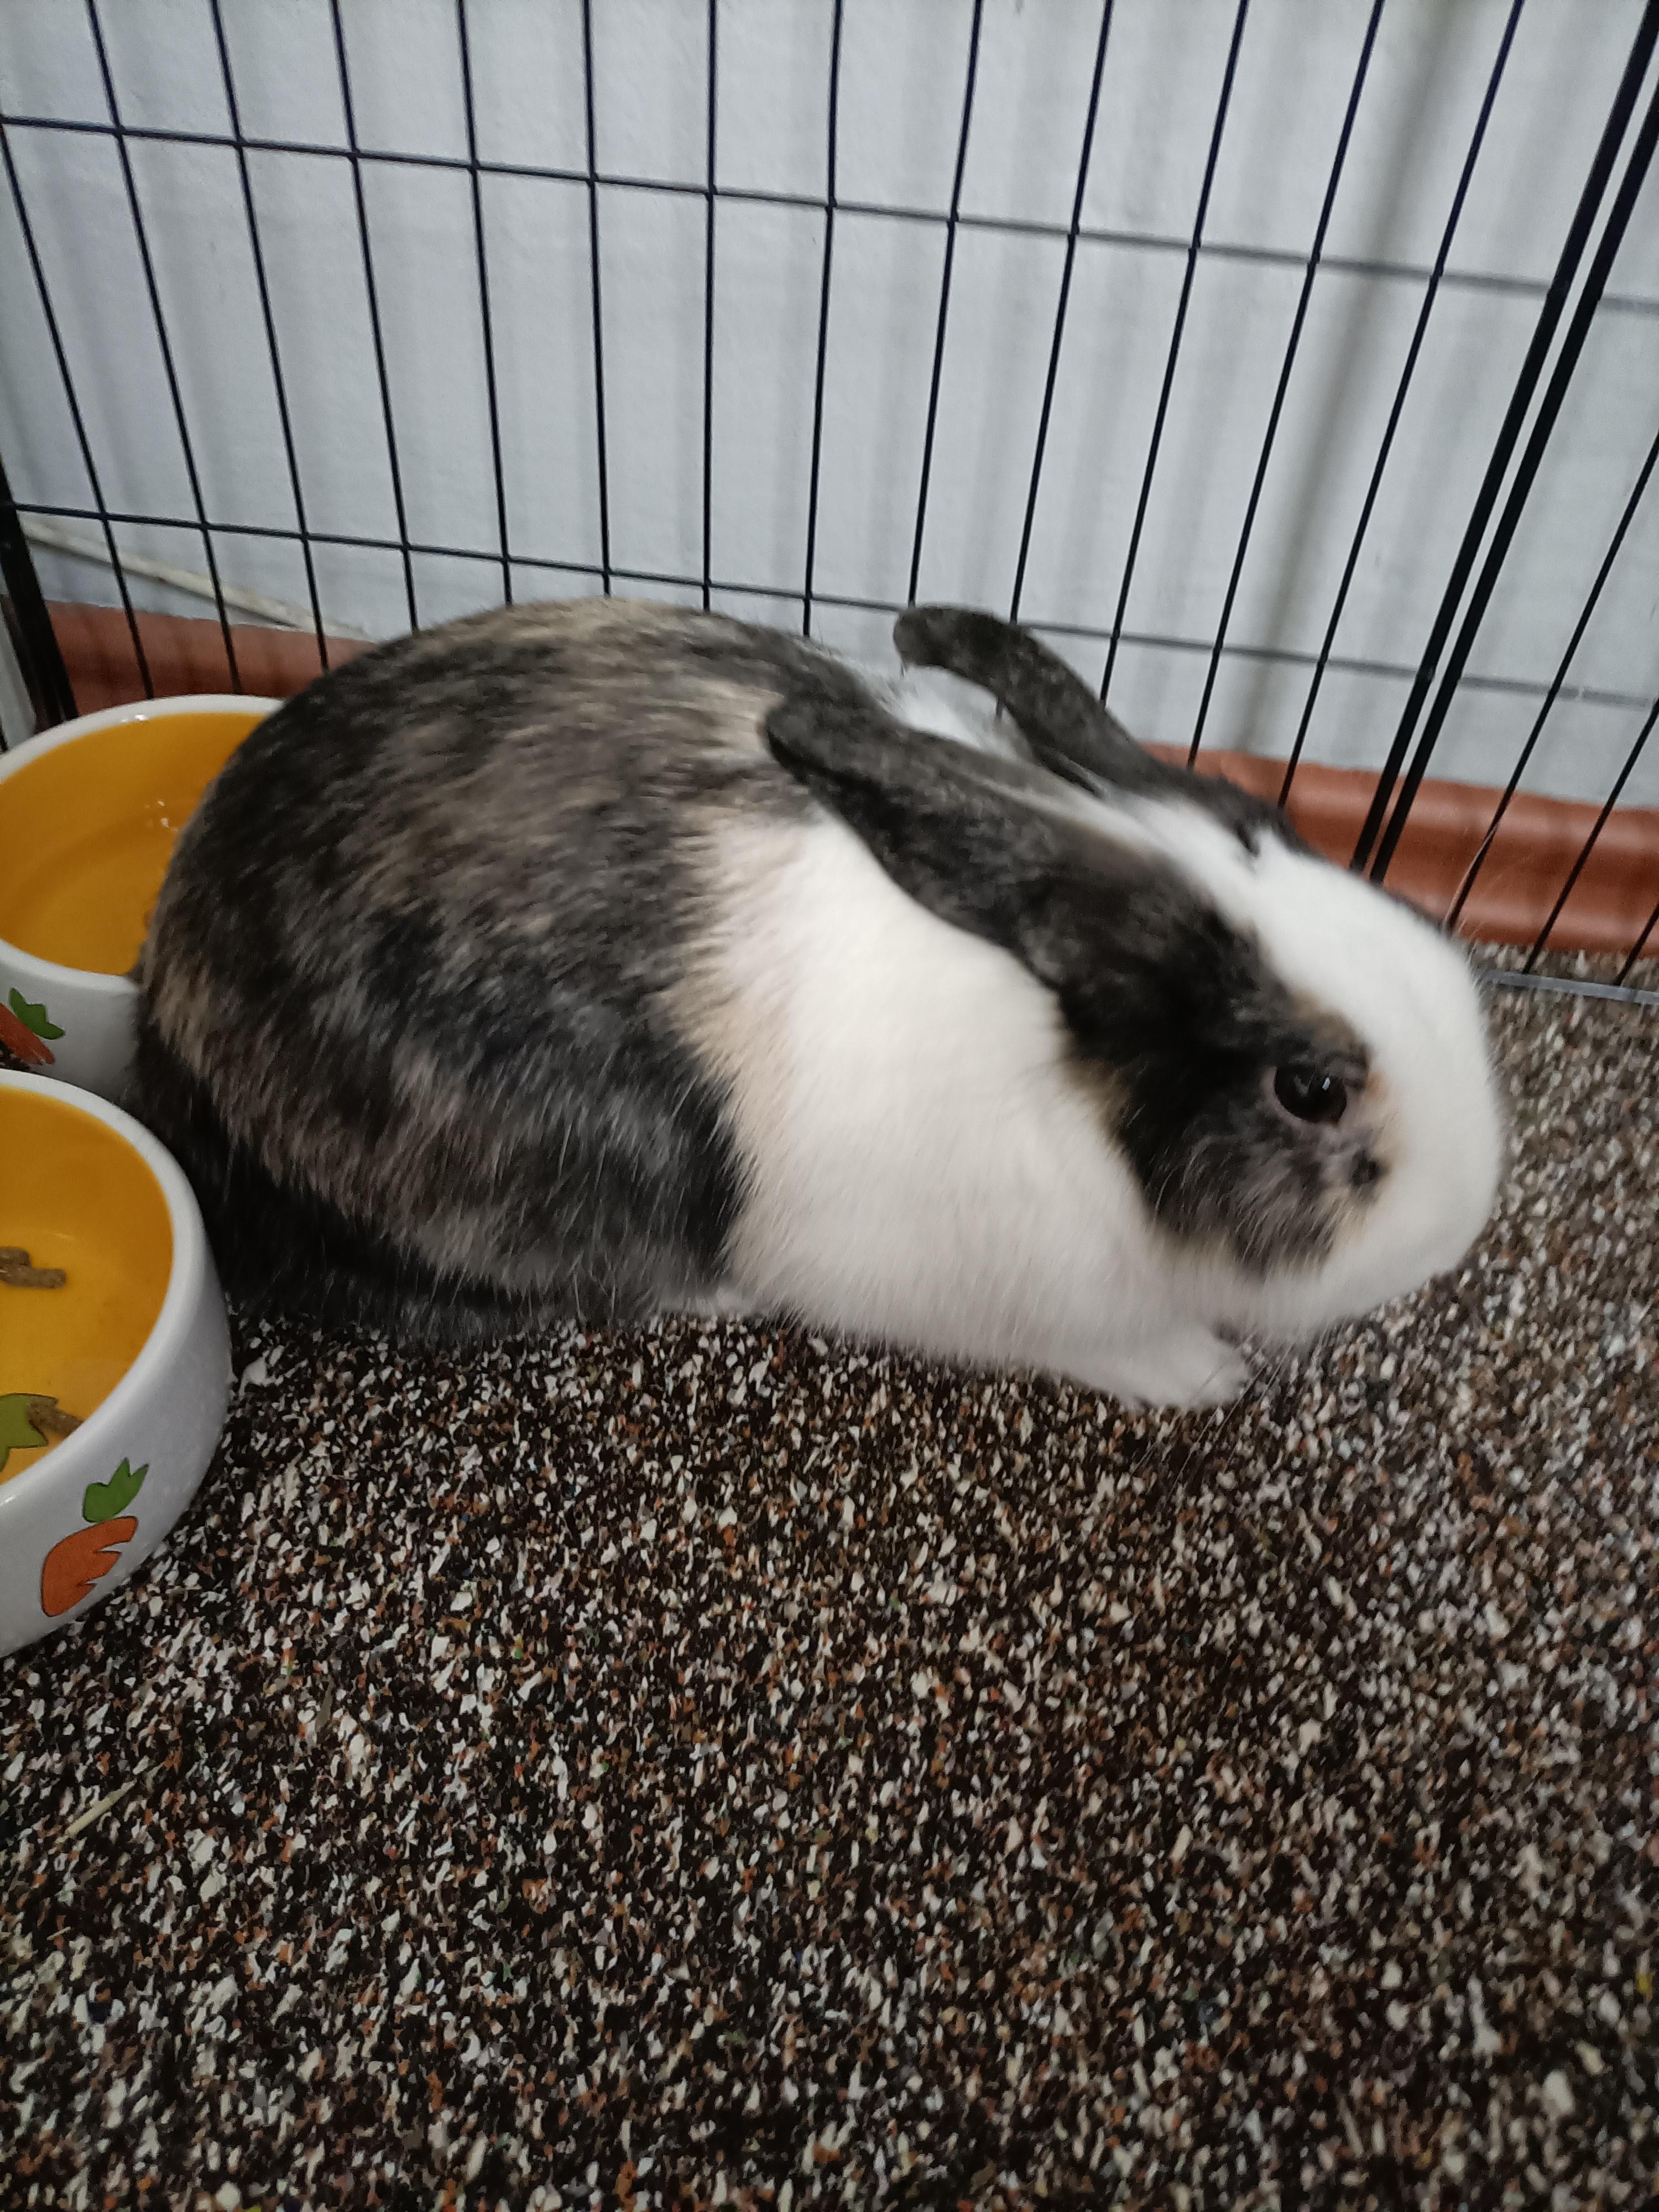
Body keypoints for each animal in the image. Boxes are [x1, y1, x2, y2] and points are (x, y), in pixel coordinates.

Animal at [131, 597, 1504, 1409]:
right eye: (1310, 1088)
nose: (1460, 1223)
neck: (1071, 1097)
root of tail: (170, 1027)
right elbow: (1128, 1348)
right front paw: (1209, 1377)